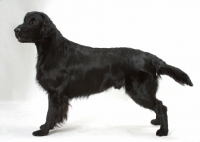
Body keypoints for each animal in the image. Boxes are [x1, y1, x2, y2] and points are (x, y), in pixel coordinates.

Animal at [14, 11, 192, 136]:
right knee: (159, 105)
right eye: (24, 19)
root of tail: (150, 56)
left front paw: (43, 131)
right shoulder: (57, 94)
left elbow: (50, 113)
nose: (15, 30)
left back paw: (163, 131)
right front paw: (46, 127)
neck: (53, 49)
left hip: (139, 91)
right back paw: (157, 122)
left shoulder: (55, 92)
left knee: (161, 106)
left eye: (33, 22)